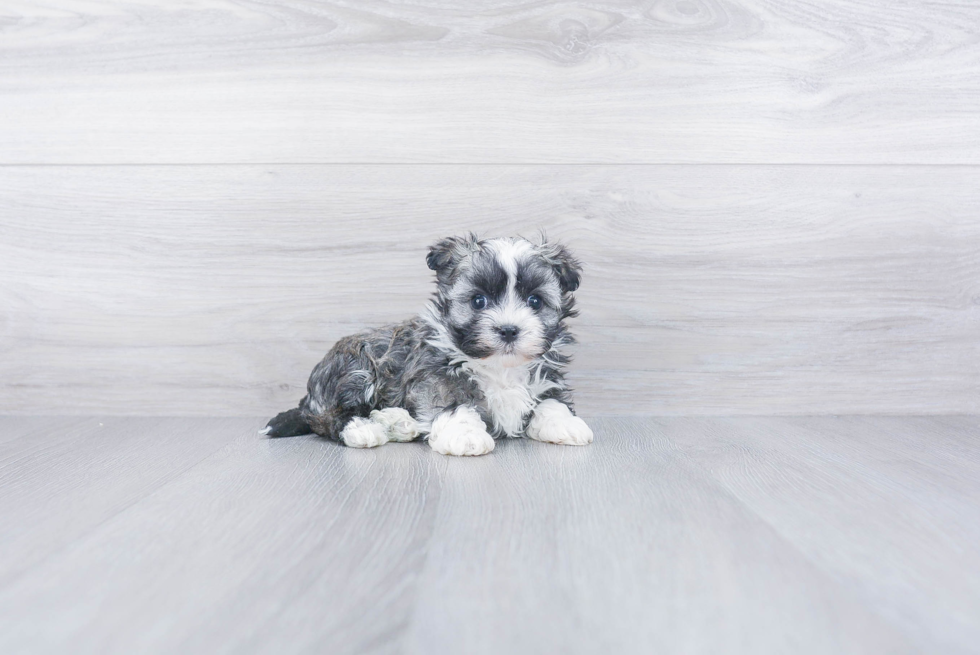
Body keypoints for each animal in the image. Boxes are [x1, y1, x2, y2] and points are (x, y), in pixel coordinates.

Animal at [262, 234, 588, 456]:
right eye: (478, 301)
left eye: (535, 301)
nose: (508, 330)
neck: (499, 367)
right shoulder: (436, 374)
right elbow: (451, 400)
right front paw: (464, 433)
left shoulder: (546, 374)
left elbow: (551, 400)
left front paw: (566, 423)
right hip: (357, 366)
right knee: (327, 418)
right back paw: (363, 428)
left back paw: (396, 421)